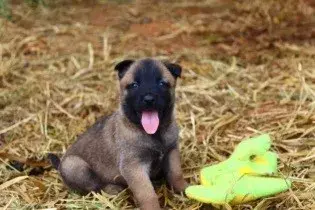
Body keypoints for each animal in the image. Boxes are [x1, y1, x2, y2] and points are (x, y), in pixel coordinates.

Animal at [47, 57, 188, 210]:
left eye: (162, 83)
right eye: (134, 85)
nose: (149, 99)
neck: (154, 134)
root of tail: (60, 165)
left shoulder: (171, 152)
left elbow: (176, 174)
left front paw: (185, 189)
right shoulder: (134, 167)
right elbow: (147, 194)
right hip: (74, 166)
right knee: (95, 186)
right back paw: (112, 189)